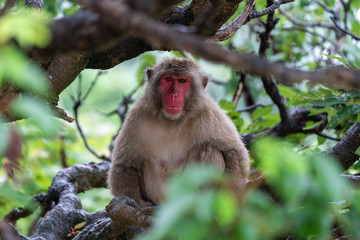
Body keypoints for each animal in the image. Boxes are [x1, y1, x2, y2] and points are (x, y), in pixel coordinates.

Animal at [107, 57, 250, 206]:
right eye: (168, 79)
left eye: (182, 81)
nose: (173, 94)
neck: (173, 120)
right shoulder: (138, 116)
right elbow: (124, 164)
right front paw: (137, 203)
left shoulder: (209, 113)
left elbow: (235, 152)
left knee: (210, 149)